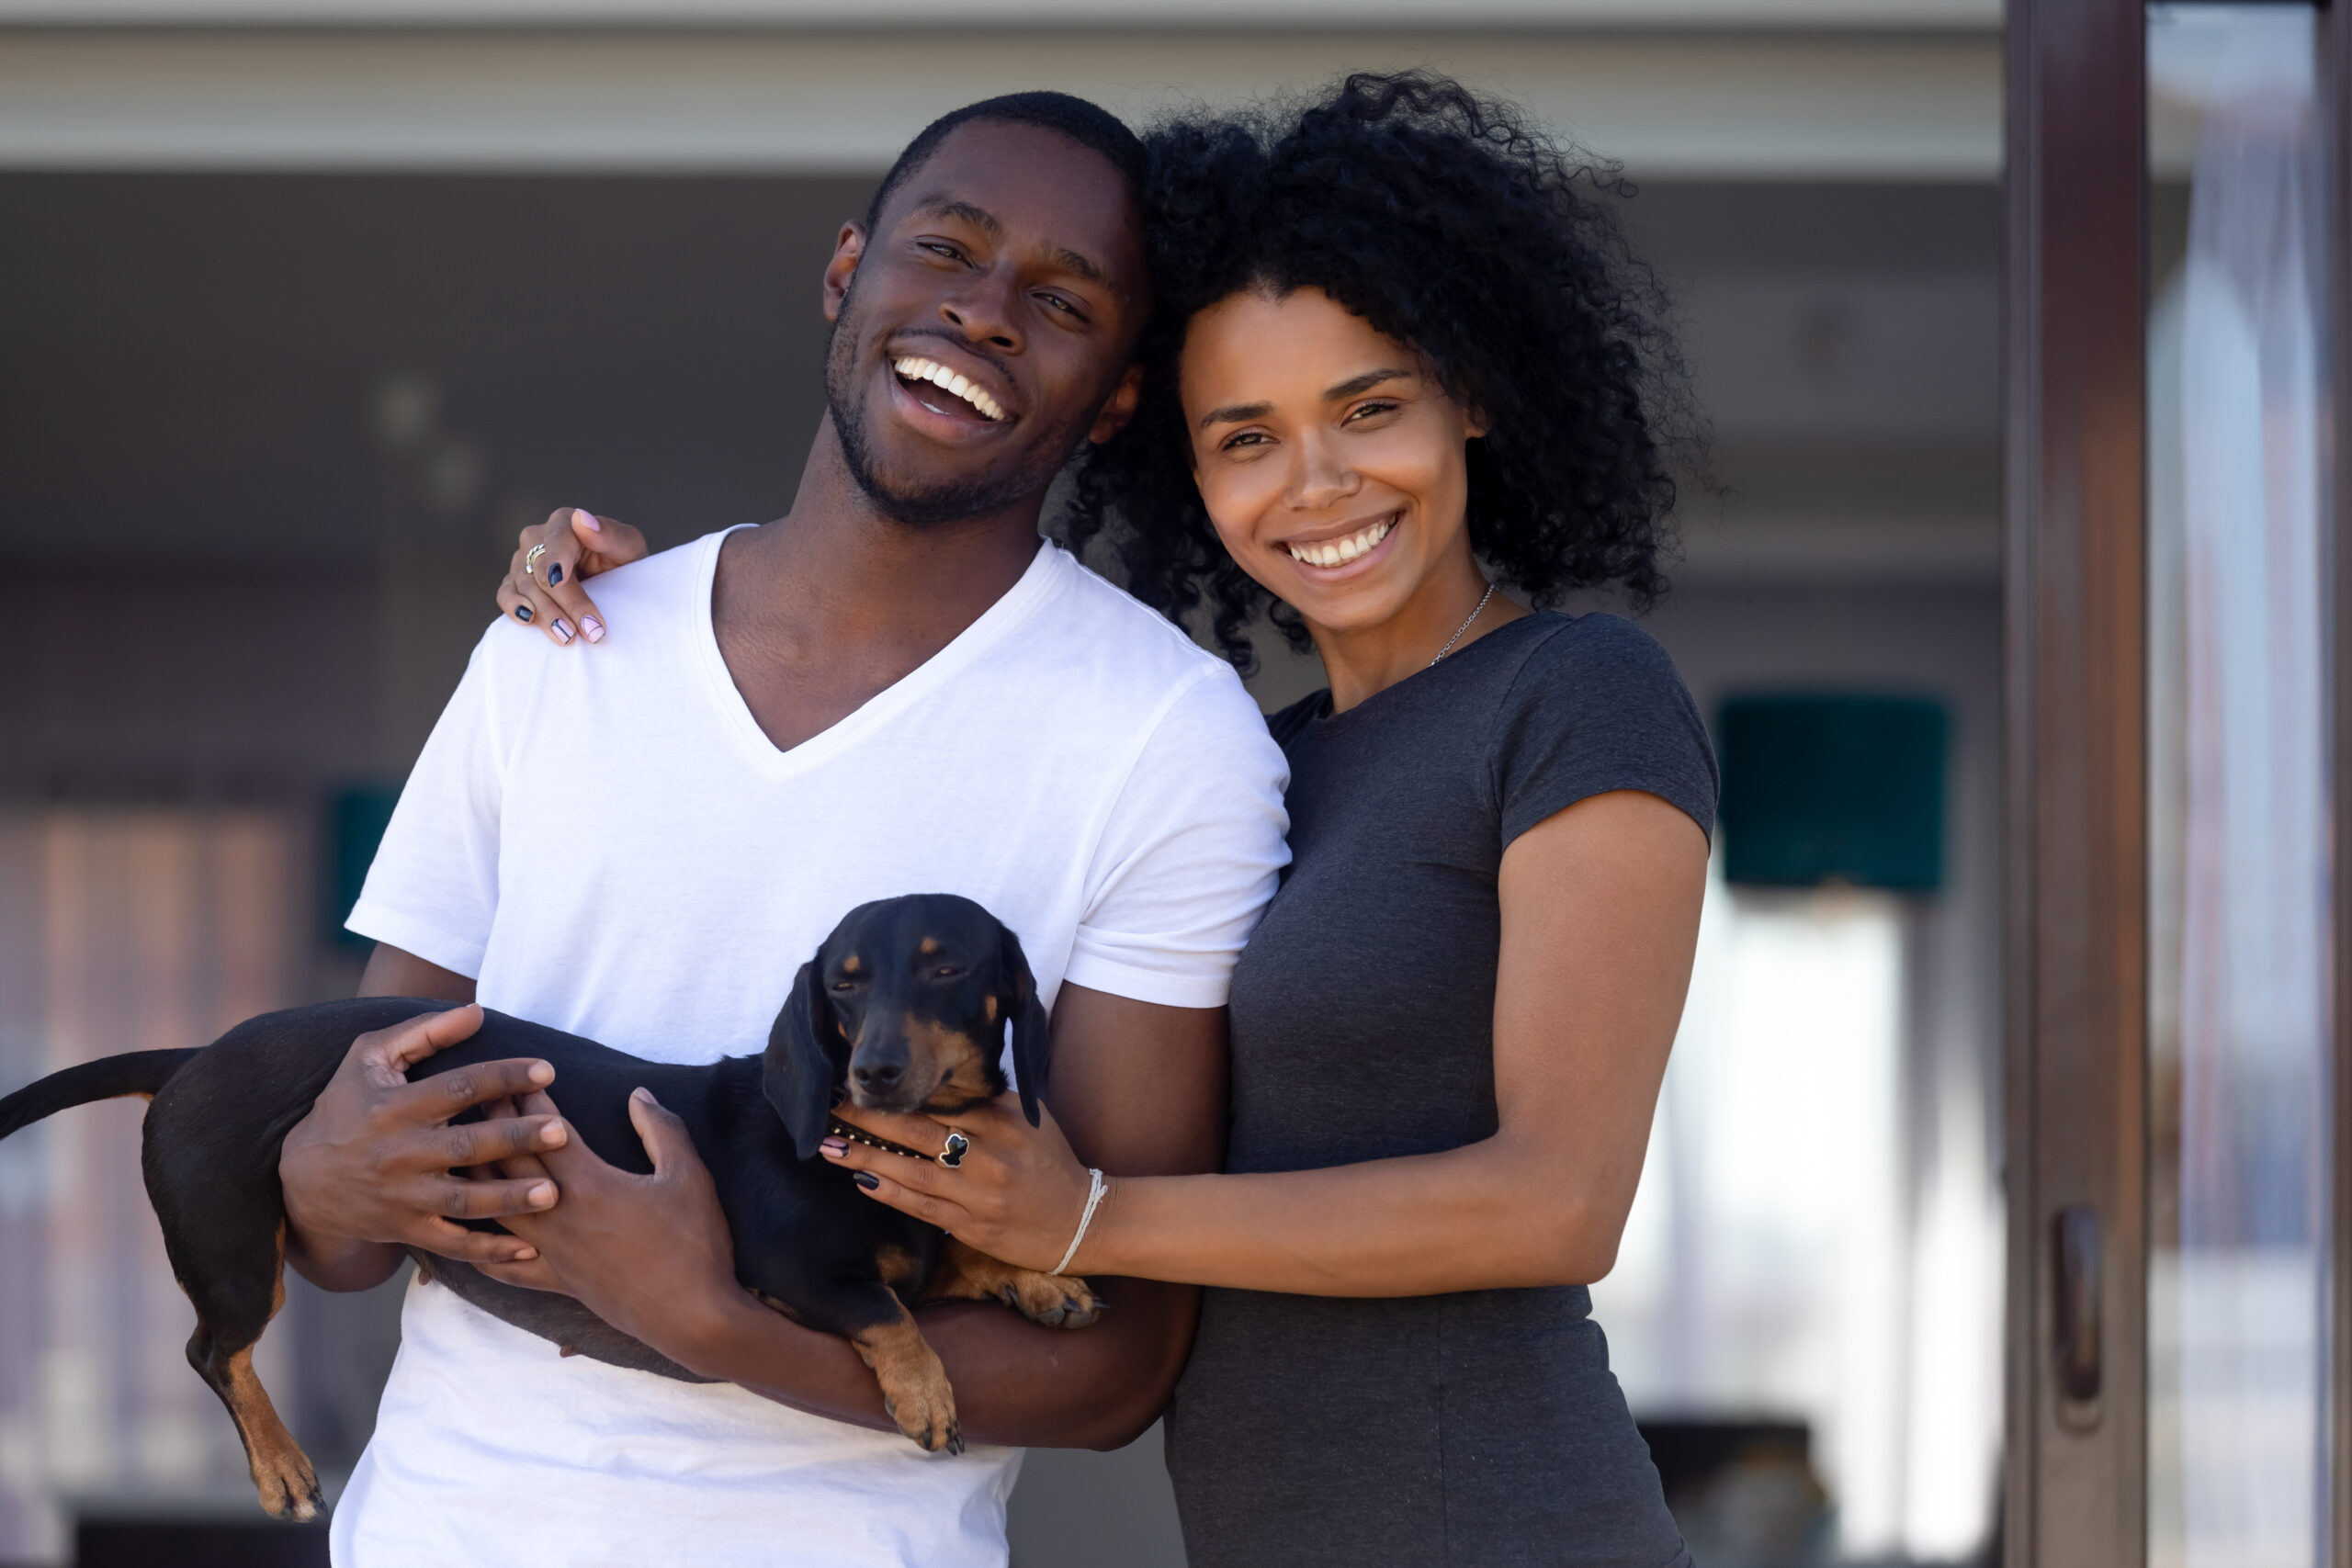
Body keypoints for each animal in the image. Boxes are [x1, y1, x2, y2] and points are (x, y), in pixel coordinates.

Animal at [0, 893, 1101, 1523]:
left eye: (949, 967)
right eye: (843, 983)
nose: (872, 1071)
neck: (869, 1149)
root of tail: (194, 1057)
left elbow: (951, 1269)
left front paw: (1039, 1280)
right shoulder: (782, 1273)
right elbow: (889, 1309)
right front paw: (928, 1392)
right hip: (233, 1248)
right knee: (211, 1350)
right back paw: (279, 1465)